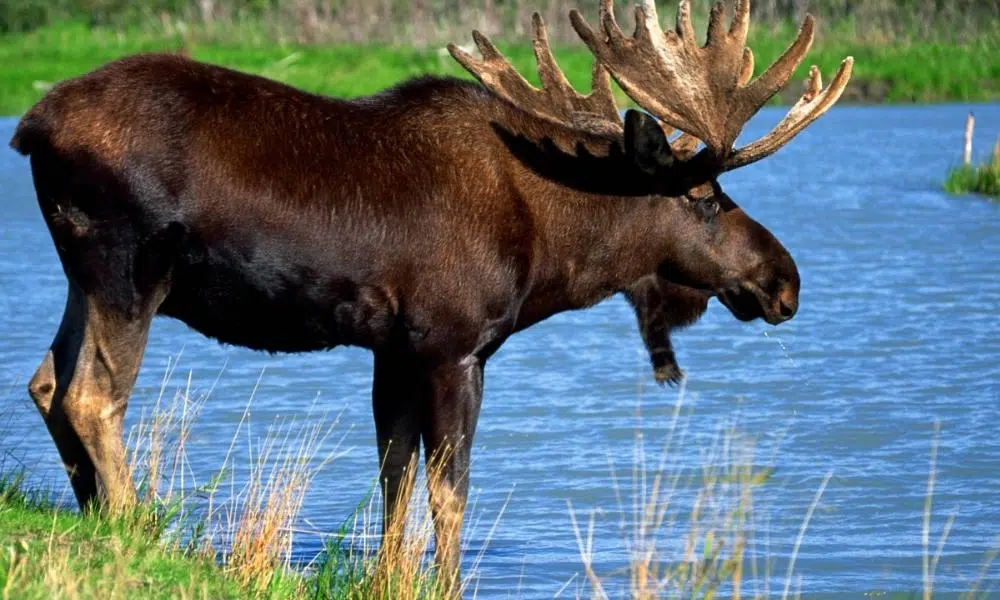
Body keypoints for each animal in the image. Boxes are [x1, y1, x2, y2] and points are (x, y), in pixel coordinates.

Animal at [9, 0, 852, 588]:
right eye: (706, 197)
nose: (785, 280)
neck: (554, 248)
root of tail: (30, 125)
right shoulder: (454, 345)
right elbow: (450, 489)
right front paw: (443, 582)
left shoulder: (394, 349)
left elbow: (394, 477)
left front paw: (388, 578)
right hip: (129, 267)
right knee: (92, 394)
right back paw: (133, 528)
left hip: (82, 274)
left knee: (46, 380)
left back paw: (95, 517)